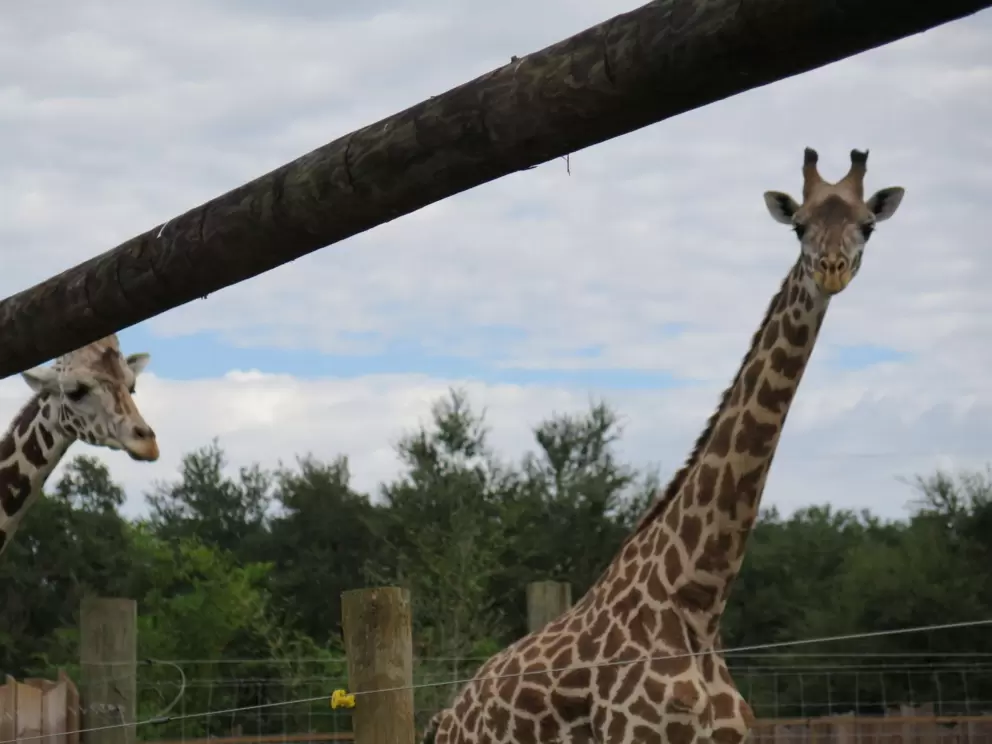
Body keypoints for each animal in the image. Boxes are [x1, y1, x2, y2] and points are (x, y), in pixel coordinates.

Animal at [421, 148, 905, 744]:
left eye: (867, 225)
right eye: (799, 226)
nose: (831, 268)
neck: (697, 598)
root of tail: (448, 715)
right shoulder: (634, 734)